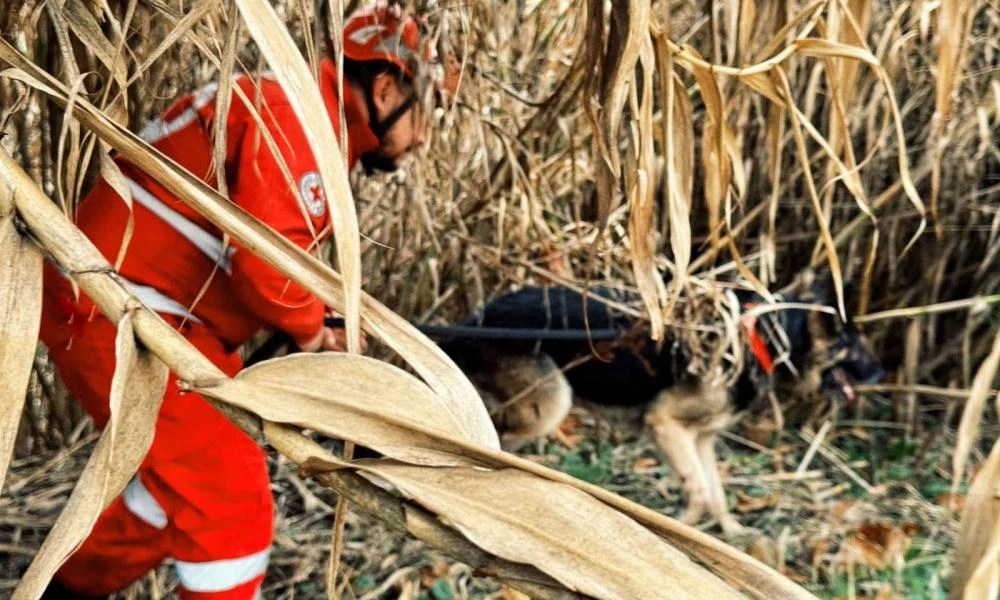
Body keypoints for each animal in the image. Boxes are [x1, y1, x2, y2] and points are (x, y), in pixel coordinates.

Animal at [438, 274, 884, 532]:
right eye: (856, 346)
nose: (882, 372)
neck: (761, 336)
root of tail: (472, 320)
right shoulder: (666, 425)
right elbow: (699, 493)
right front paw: (678, 528)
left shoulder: (701, 439)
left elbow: (716, 494)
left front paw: (732, 537)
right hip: (552, 403)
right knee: (490, 433)